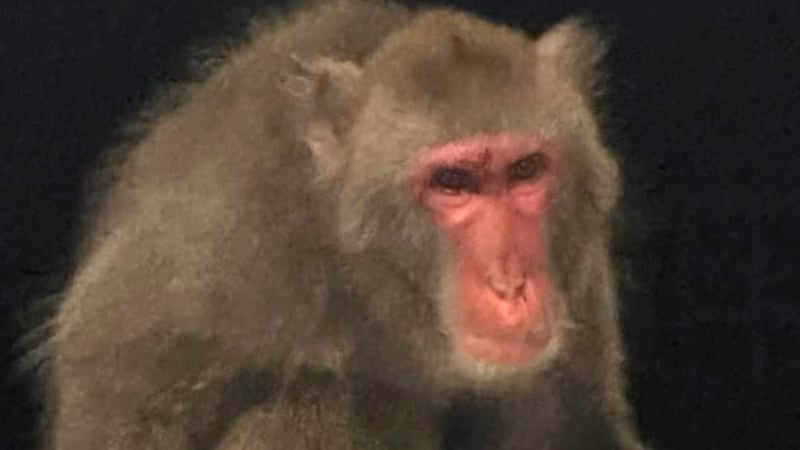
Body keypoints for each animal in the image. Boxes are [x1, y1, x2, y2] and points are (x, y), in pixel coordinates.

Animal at [39, 0, 650, 449]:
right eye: (452, 181)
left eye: (525, 170)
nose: (510, 282)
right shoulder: (230, 234)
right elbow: (113, 377)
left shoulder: (579, 273)